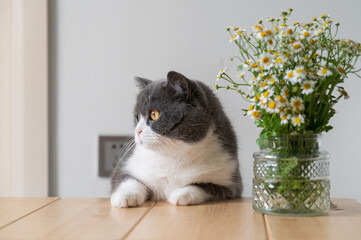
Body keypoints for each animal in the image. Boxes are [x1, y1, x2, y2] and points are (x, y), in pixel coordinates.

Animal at [109, 70, 242, 207]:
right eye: (137, 117)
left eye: (154, 114)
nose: (137, 131)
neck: (172, 155)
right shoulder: (126, 166)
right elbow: (126, 179)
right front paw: (125, 196)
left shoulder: (230, 182)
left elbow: (205, 186)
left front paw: (182, 194)